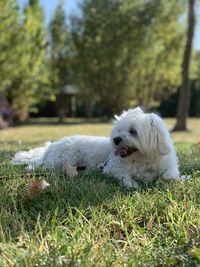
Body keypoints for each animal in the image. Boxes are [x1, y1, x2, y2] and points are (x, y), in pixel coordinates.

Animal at [12, 107, 180, 188]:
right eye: (117, 130)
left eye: (133, 131)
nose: (116, 140)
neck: (143, 159)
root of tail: (51, 146)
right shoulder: (113, 169)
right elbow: (126, 178)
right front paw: (133, 185)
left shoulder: (169, 169)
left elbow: (171, 177)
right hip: (60, 161)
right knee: (37, 166)